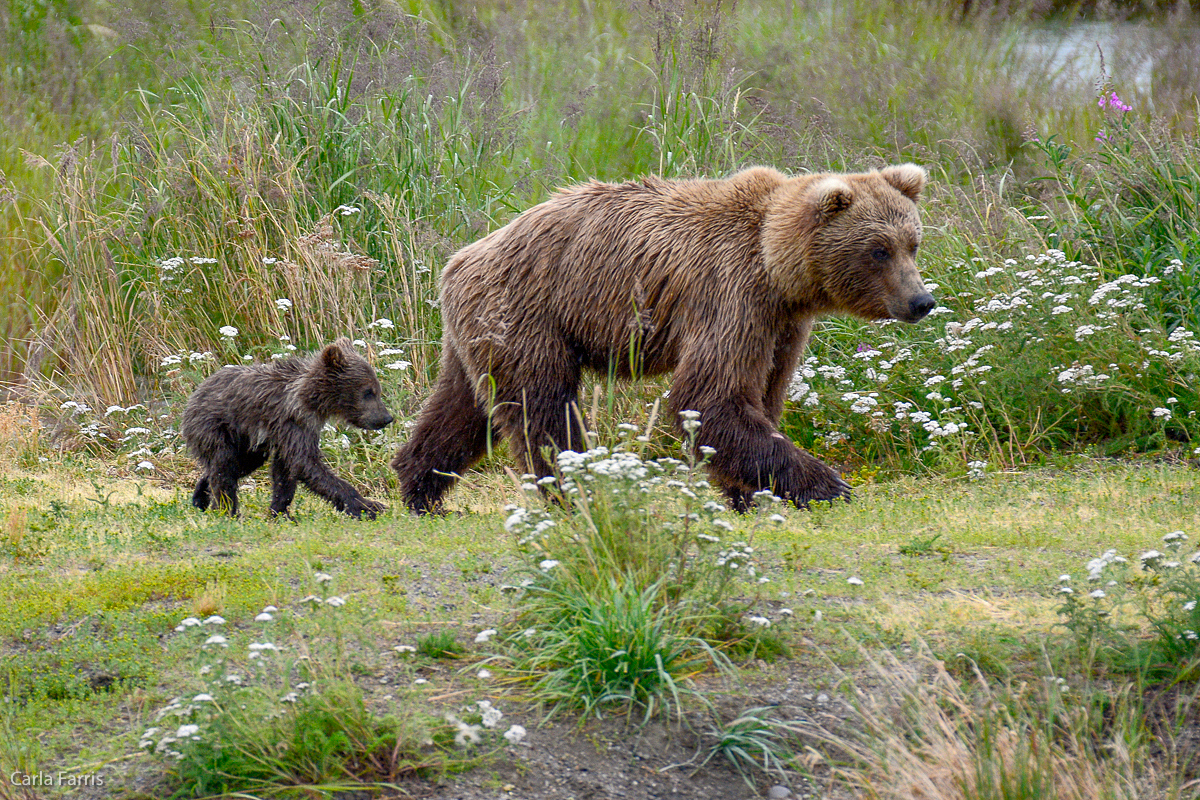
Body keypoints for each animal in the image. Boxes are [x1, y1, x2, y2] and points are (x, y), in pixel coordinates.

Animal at [388, 164, 931, 513]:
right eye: (879, 249)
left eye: (912, 243)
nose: (921, 301)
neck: (777, 267)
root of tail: (460, 259)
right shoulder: (730, 296)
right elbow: (710, 396)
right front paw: (827, 484)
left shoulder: (781, 325)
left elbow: (761, 394)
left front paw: (749, 492)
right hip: (528, 314)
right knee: (542, 409)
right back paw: (575, 491)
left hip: (480, 331)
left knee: (461, 409)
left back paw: (420, 488)